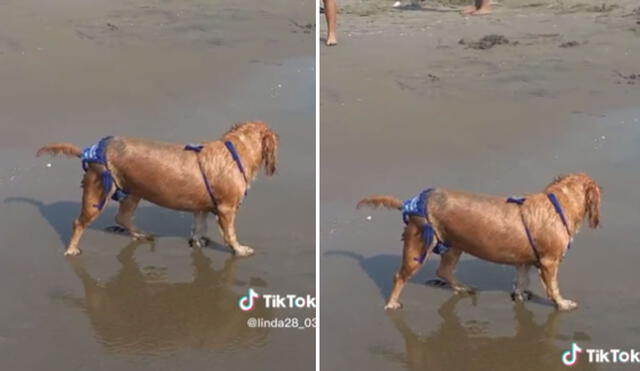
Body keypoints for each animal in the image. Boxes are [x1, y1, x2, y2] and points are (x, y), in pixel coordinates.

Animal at [37, 120, 278, 258]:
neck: (234, 151)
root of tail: (90, 151)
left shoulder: (201, 208)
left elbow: (199, 226)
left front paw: (198, 241)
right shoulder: (227, 209)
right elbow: (230, 234)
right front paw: (239, 249)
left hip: (133, 192)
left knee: (122, 217)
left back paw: (140, 234)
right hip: (97, 195)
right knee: (79, 223)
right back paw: (71, 249)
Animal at [358, 174, 604, 310]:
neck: (557, 205)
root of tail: (411, 203)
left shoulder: (523, 262)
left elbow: (520, 280)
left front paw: (521, 295)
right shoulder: (549, 262)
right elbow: (553, 288)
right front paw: (562, 303)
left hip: (454, 245)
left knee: (443, 271)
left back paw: (462, 288)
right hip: (418, 248)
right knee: (399, 276)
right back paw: (392, 303)